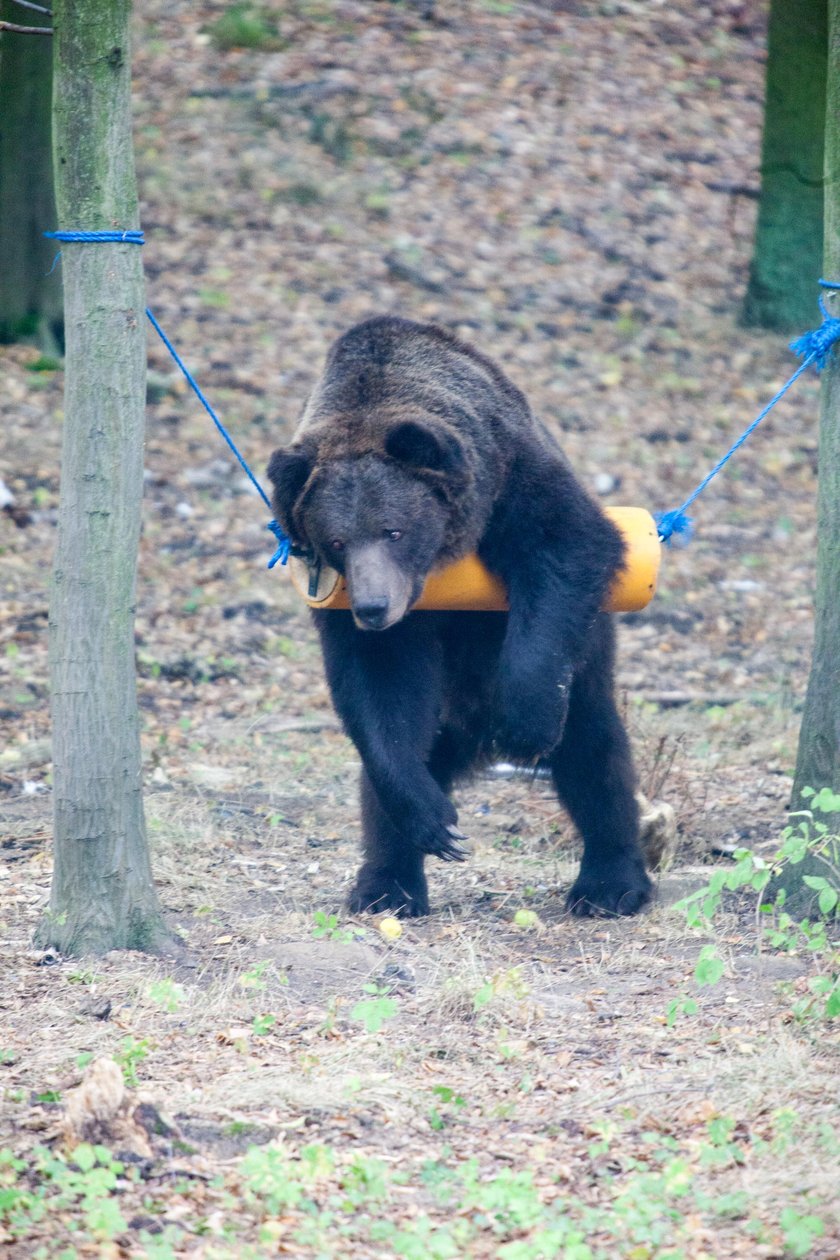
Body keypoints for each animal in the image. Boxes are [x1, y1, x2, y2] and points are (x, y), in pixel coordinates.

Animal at [265, 317, 654, 917]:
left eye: (393, 529)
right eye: (336, 540)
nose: (374, 607)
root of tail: (473, 738)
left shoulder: (513, 473)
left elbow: (566, 546)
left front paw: (524, 722)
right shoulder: (362, 615)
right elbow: (381, 699)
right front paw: (433, 820)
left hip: (588, 652)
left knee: (595, 750)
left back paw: (610, 882)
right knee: (396, 768)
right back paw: (386, 884)